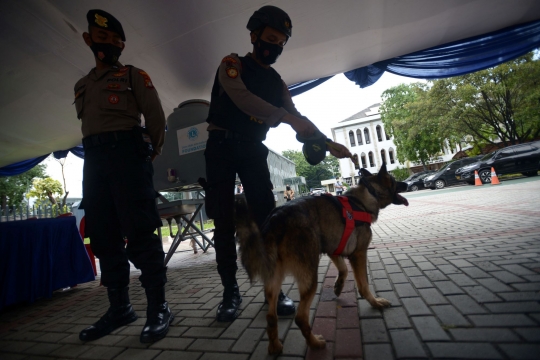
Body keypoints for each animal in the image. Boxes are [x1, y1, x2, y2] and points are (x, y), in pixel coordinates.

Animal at [234, 164, 408, 354]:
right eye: (394, 181)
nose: (407, 183)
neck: (363, 198)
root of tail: (276, 219)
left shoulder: (333, 249)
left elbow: (343, 269)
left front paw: (338, 286)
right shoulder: (359, 254)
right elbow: (363, 285)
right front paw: (374, 302)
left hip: (274, 280)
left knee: (271, 316)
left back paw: (275, 346)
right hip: (310, 278)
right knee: (300, 318)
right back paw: (315, 343)